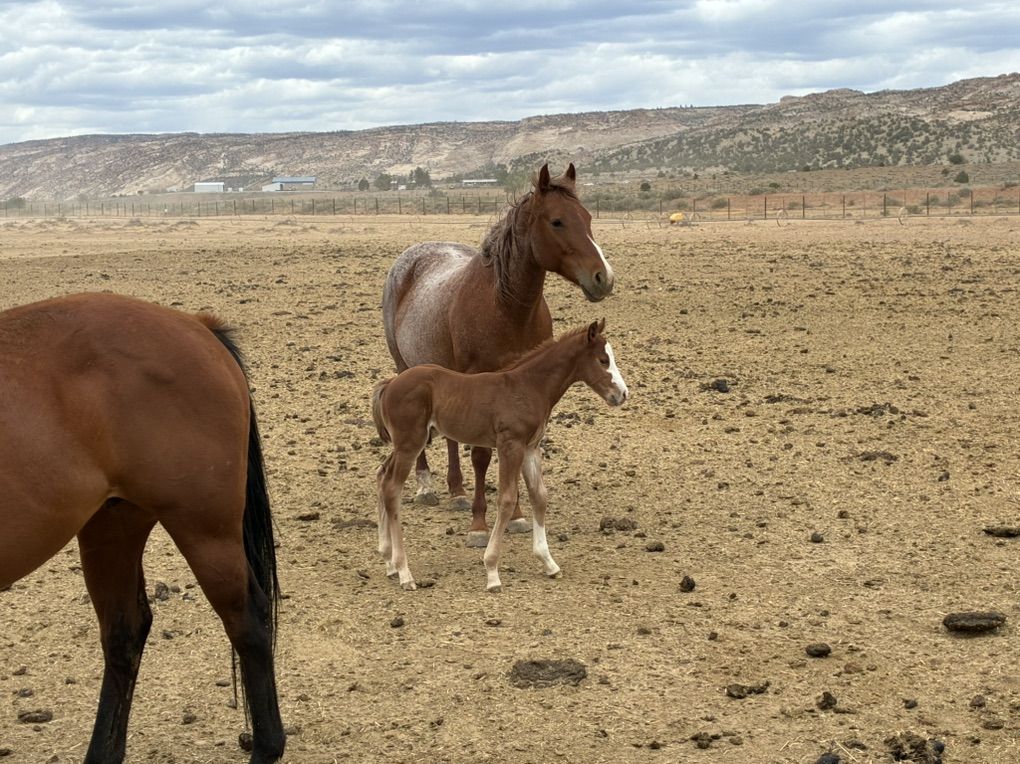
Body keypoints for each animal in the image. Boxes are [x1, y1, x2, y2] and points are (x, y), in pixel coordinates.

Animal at [0, 293, 284, 764]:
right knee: (125, 632)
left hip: (203, 528)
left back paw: (266, 747)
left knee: (249, 622)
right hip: (113, 524)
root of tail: (197, 325)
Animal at [371, 319, 628, 592]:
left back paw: (388, 561)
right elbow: (506, 499)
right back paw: (404, 572)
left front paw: (549, 563)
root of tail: (390, 384)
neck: (529, 387)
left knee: (382, 475)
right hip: (411, 443)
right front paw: (492, 571)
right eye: (603, 360)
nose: (623, 394)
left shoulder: (530, 448)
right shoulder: (510, 446)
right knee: (392, 489)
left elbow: (539, 497)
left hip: (404, 444)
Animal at [382, 163, 614, 548]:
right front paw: (479, 525)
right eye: (557, 222)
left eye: (587, 217)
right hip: (408, 368)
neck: (507, 308)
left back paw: (457, 491)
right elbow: (480, 455)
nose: (603, 278)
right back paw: (427, 487)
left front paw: (517, 515)